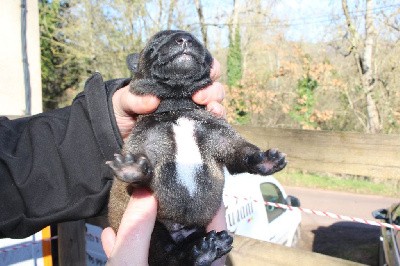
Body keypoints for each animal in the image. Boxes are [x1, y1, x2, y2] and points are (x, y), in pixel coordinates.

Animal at [107, 30, 288, 264]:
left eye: (198, 40)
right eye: (154, 44)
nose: (184, 38)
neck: (177, 107)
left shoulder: (222, 137)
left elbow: (241, 151)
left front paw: (263, 160)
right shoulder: (143, 139)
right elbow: (142, 164)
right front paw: (132, 168)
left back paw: (211, 247)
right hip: (155, 233)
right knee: (170, 256)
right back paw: (200, 253)